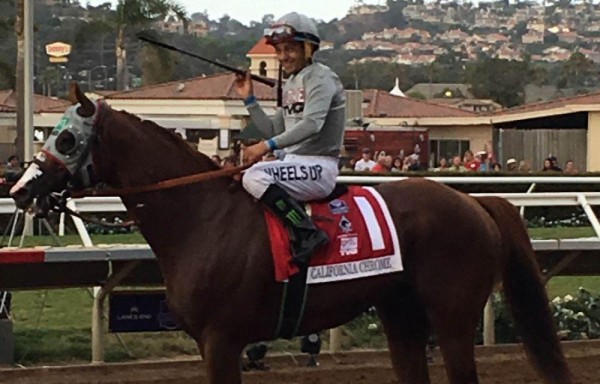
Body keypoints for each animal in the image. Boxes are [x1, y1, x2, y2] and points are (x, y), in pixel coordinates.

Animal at [11, 85, 568, 384]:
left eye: (66, 138)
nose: (19, 188)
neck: (202, 217)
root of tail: (473, 201)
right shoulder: (211, 342)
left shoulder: (221, 340)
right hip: (401, 316)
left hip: (452, 320)